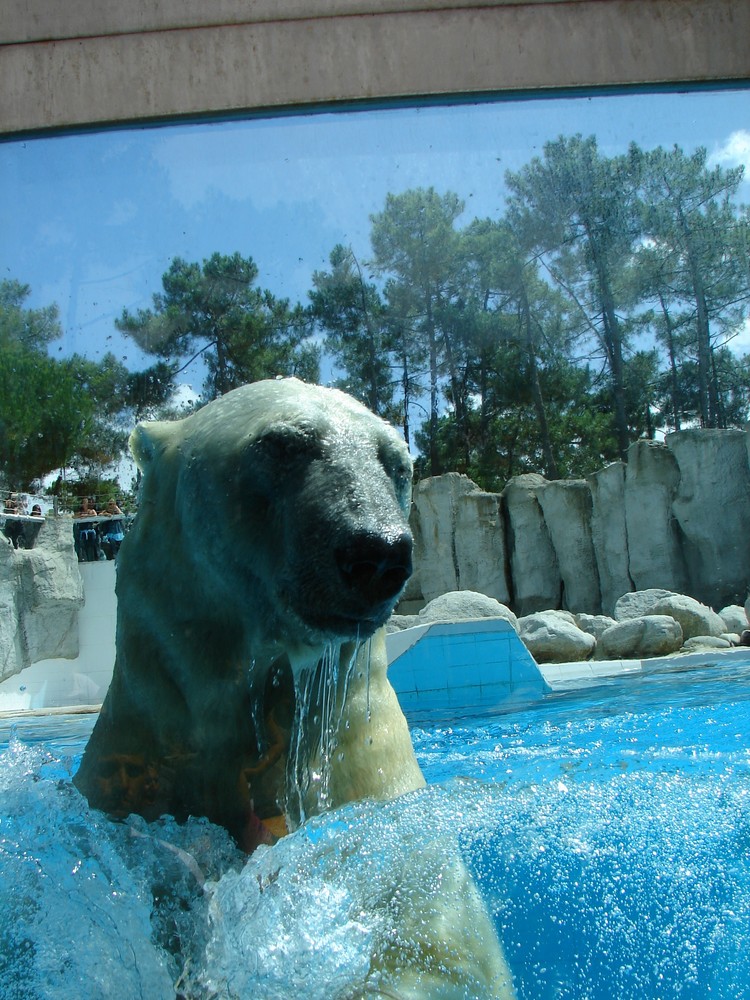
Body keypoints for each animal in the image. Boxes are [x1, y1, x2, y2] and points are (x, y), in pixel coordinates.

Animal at [75, 378, 516, 996]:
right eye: (281, 444)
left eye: (396, 461)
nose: (376, 551)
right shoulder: (130, 781)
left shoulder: (374, 810)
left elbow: (431, 952)